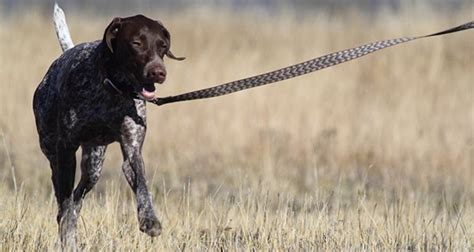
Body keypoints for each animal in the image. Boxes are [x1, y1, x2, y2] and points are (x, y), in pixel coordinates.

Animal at [32, 13, 183, 246]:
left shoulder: (132, 151)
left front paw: (149, 219)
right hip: (53, 150)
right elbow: (64, 204)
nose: (159, 73)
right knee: (64, 198)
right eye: (136, 43)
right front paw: (66, 237)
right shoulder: (66, 149)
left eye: (163, 46)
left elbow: (143, 186)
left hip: (93, 166)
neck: (113, 88)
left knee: (77, 200)